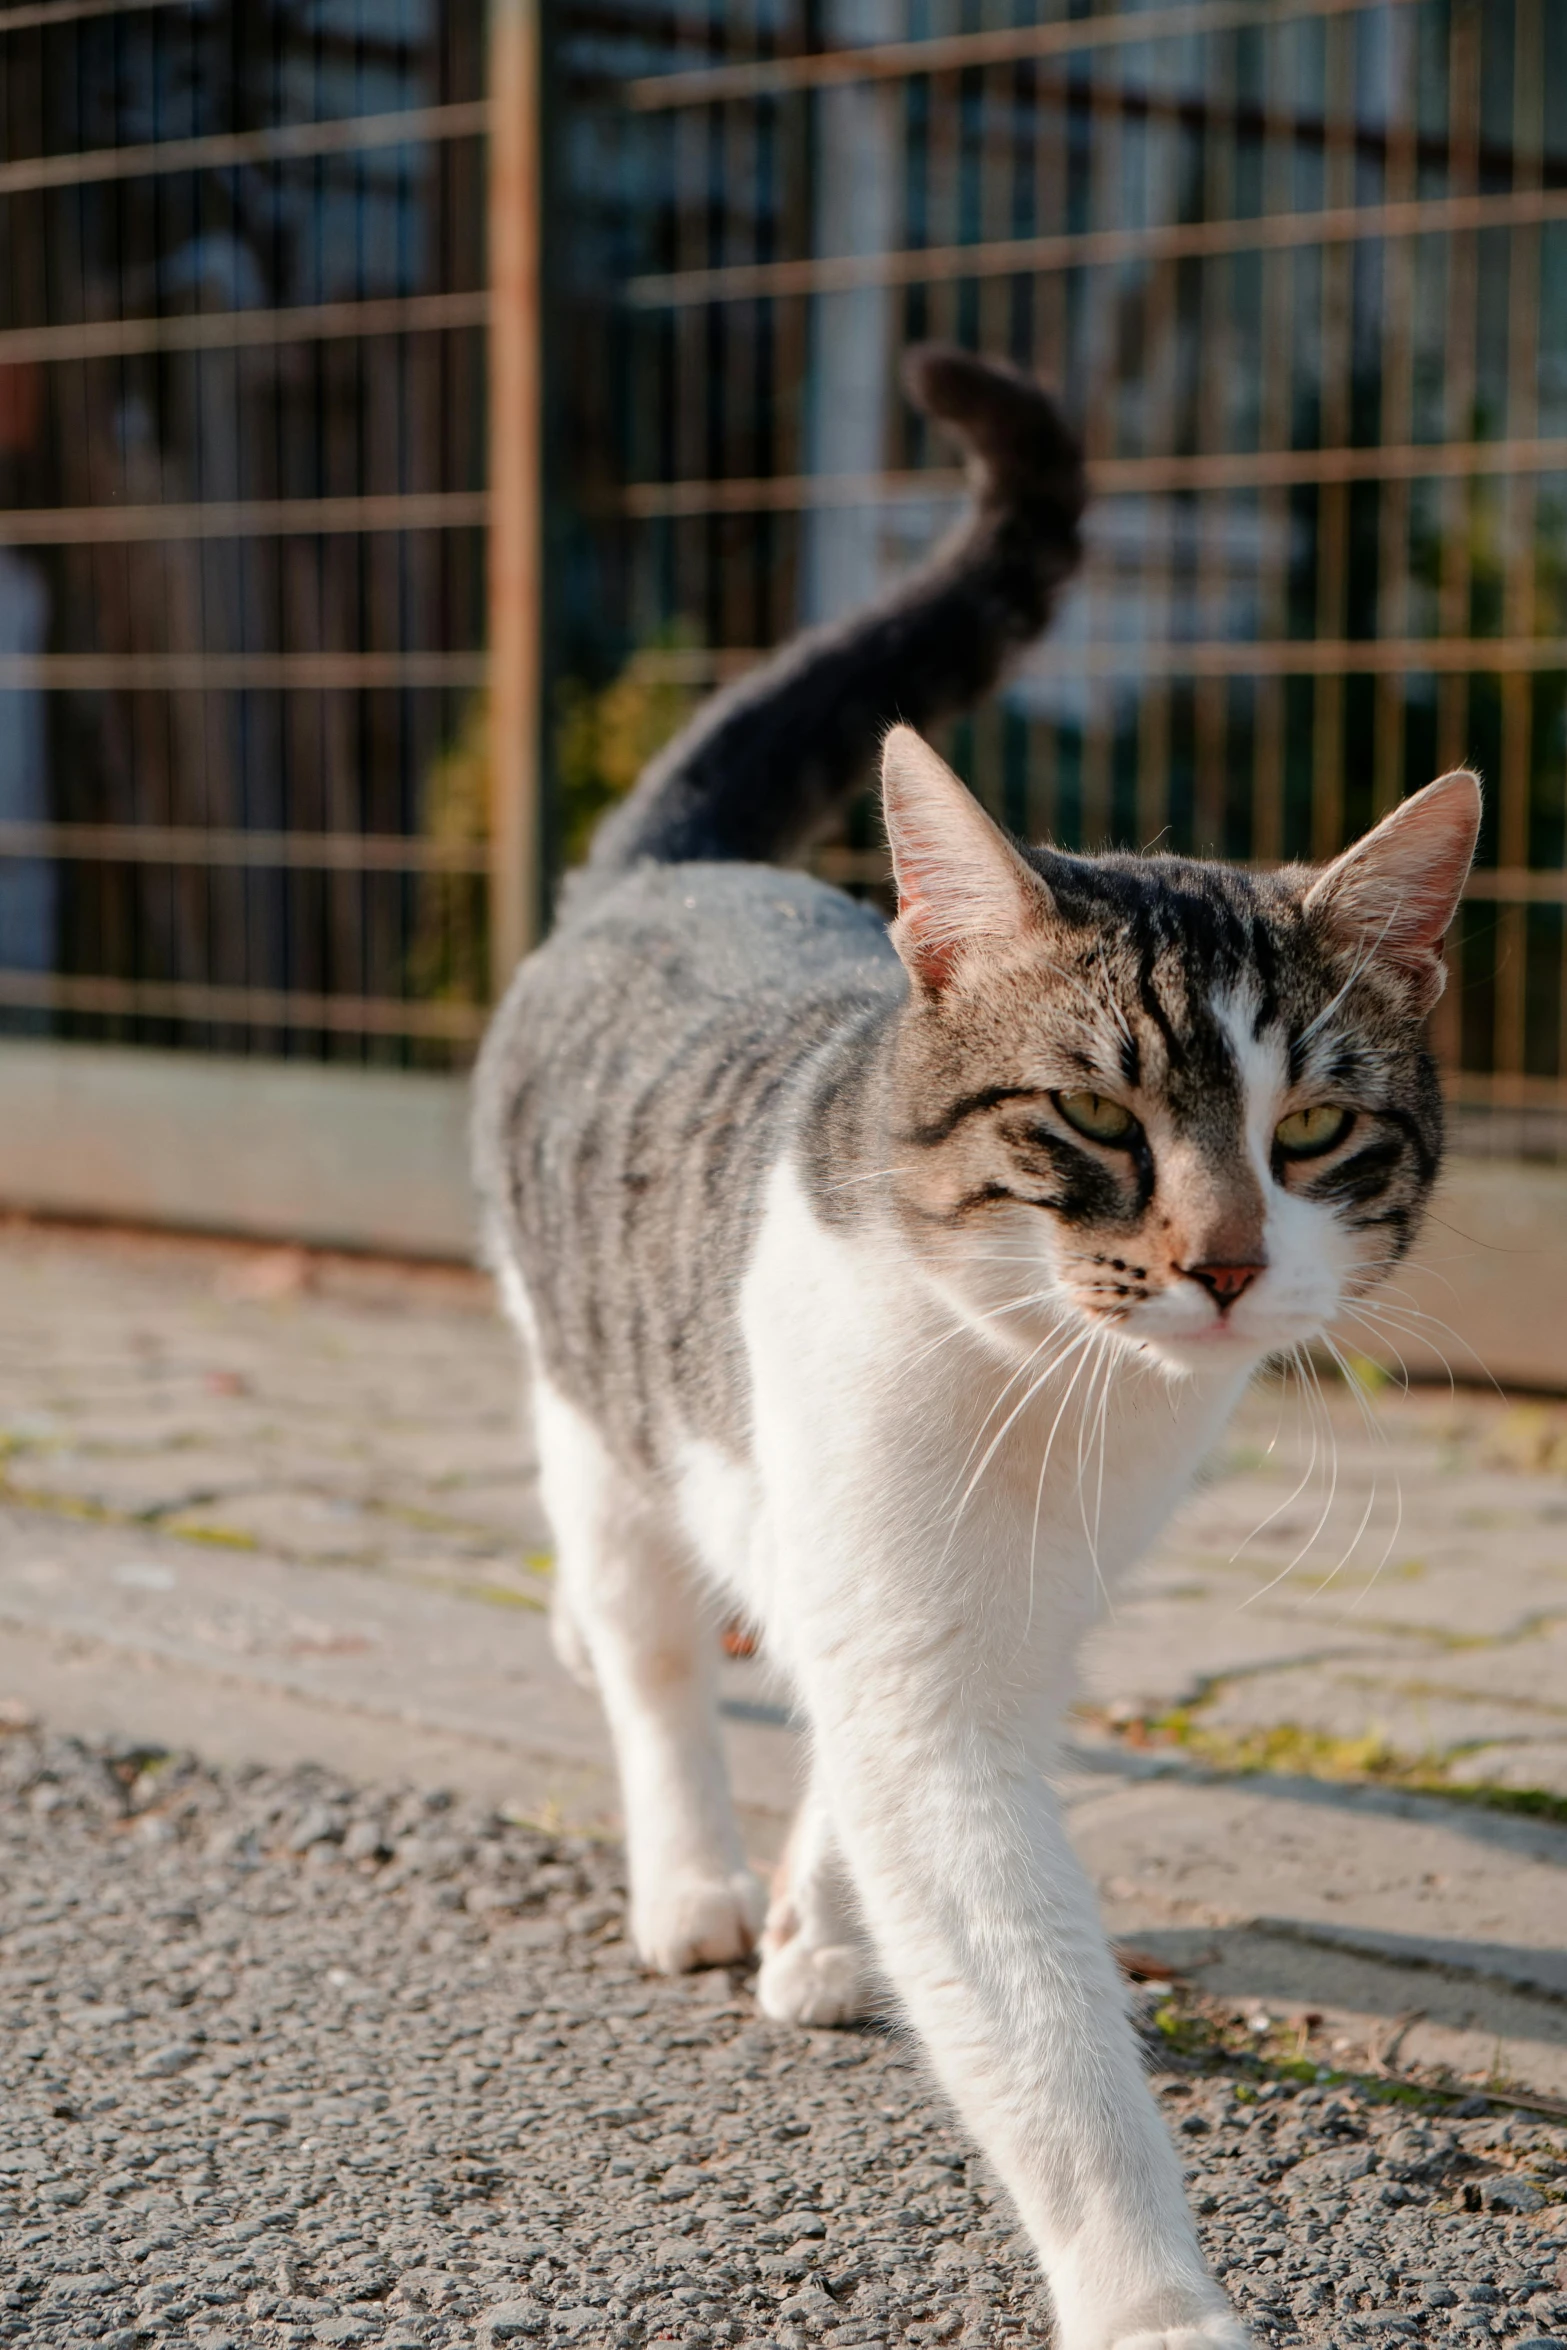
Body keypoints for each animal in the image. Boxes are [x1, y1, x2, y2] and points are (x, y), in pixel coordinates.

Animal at [472, 347, 1475, 2350]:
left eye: (1314, 1134)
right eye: (1092, 1119)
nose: (1224, 1265)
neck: (1035, 1385)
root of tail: (663, 869)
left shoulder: (1017, 1605)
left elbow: (881, 1769)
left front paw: (834, 1926)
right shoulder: (902, 1630)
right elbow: (1034, 2014)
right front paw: (1152, 2303)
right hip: (592, 1403)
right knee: (646, 1646)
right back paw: (692, 1874)